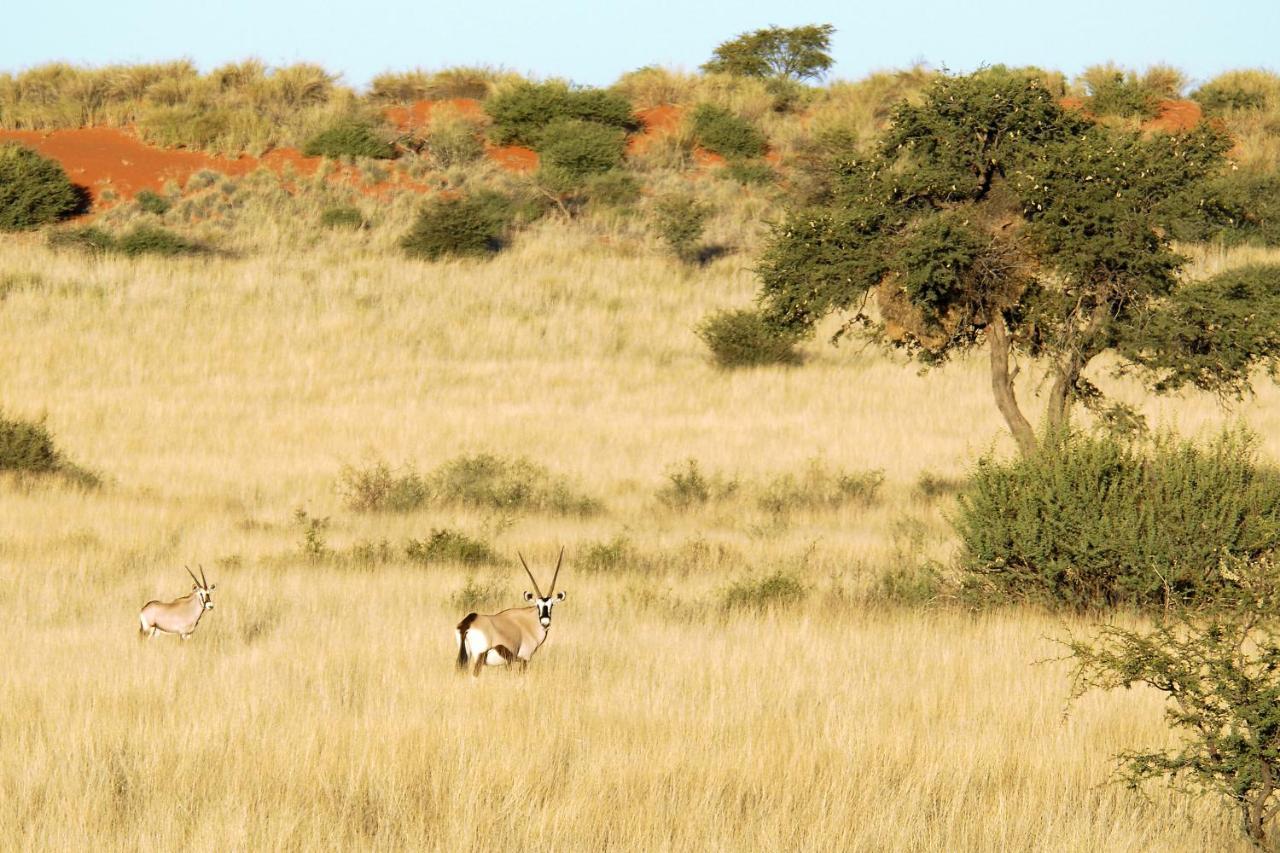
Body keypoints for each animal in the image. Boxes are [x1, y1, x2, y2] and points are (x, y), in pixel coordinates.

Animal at [455, 548, 565, 676]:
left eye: (551, 605)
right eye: (538, 606)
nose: (545, 622)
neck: (528, 623)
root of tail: (468, 622)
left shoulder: (508, 662)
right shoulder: (524, 658)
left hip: (465, 655)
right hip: (479, 656)